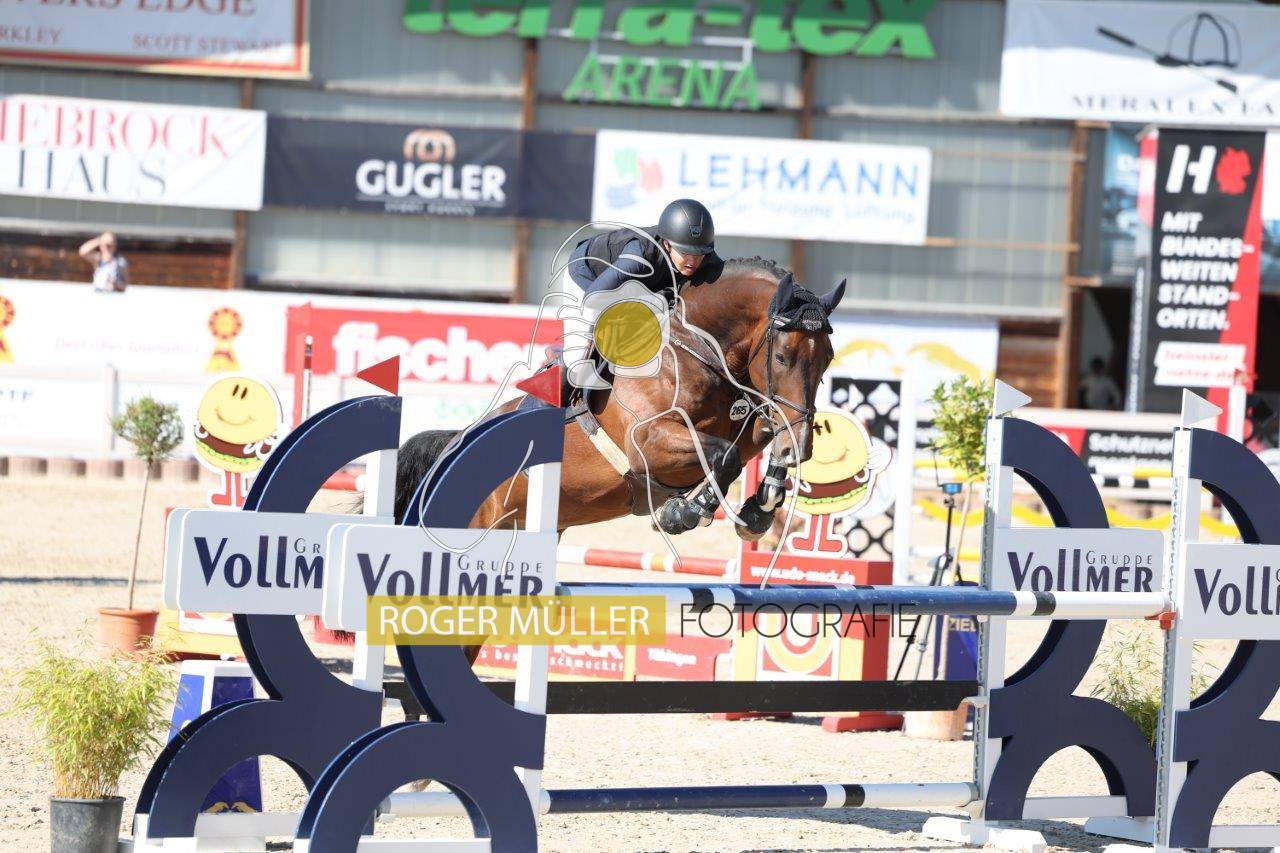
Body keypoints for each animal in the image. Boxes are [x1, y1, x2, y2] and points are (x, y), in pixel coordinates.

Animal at [393, 257, 846, 542]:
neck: (694, 349)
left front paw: (759, 510)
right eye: (783, 357)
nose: (802, 446)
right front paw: (681, 514)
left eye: (827, 358)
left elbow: (758, 438)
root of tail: (450, 445)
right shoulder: (646, 441)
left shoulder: (746, 422)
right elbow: (725, 457)